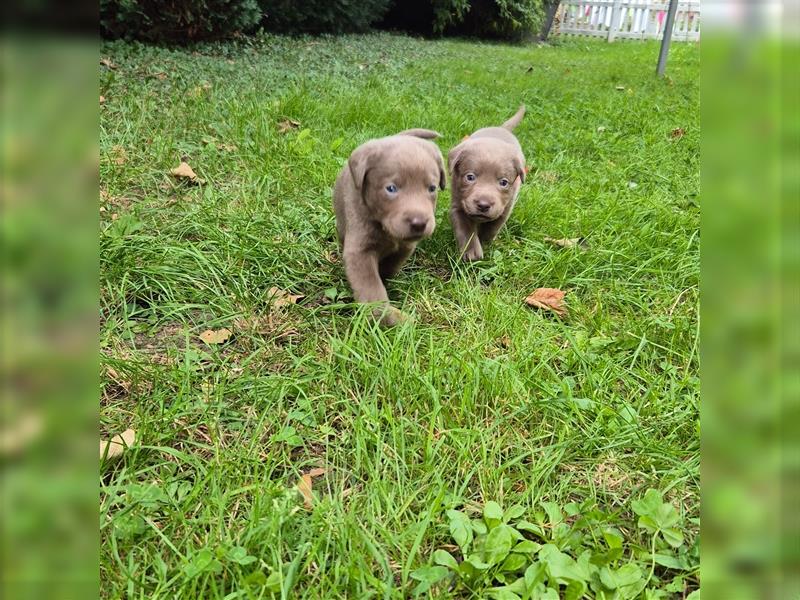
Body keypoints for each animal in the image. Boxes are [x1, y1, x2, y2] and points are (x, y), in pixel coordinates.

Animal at [332, 130, 444, 328]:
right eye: (391, 188)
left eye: (432, 188)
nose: (419, 223)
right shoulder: (360, 251)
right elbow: (371, 289)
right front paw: (389, 318)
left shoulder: (405, 248)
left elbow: (389, 268)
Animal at [450, 105, 524, 260]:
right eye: (470, 177)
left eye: (504, 182)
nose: (483, 205)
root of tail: (502, 128)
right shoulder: (457, 204)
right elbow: (465, 228)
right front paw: (471, 252)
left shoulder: (505, 209)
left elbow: (492, 227)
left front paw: (484, 242)